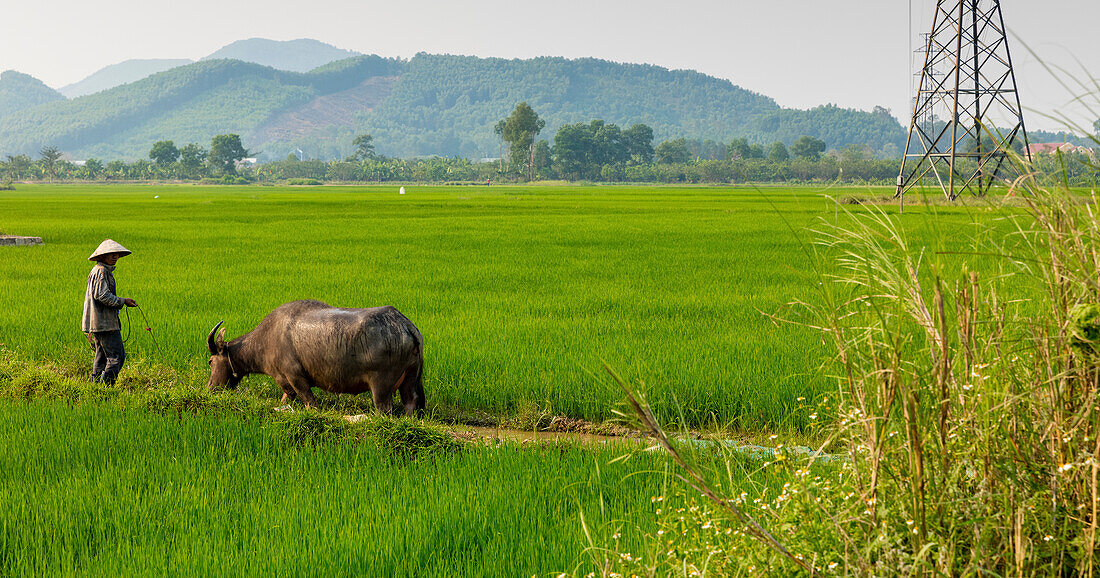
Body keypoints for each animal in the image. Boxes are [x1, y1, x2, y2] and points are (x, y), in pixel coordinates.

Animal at [206, 297, 424, 413]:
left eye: (210, 361)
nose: (209, 388)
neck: (267, 338)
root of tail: (405, 324)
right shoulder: (285, 380)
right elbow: (288, 396)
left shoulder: (294, 375)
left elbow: (308, 399)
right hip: (412, 377)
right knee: (411, 400)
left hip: (381, 384)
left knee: (383, 407)